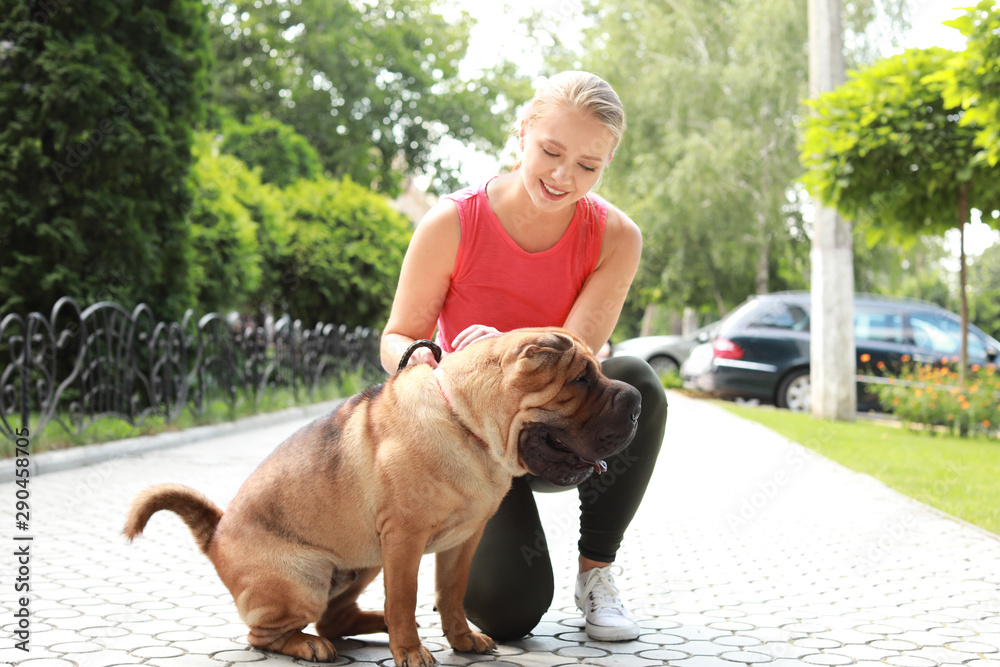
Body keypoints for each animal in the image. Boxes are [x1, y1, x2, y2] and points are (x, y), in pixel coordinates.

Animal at [123, 328, 640, 667]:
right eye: (581, 380)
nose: (635, 400)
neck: (466, 425)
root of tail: (216, 533)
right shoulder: (404, 538)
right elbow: (405, 597)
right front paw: (409, 650)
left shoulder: (462, 542)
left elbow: (450, 594)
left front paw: (460, 637)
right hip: (306, 577)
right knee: (267, 632)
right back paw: (310, 645)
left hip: (363, 562)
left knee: (335, 617)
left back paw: (372, 626)